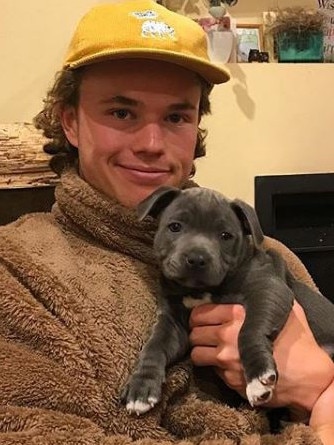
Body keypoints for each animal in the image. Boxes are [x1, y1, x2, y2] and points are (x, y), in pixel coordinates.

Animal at [122, 185, 334, 412]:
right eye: (175, 227)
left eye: (225, 235)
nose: (197, 258)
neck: (200, 290)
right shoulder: (173, 322)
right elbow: (156, 345)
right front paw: (141, 386)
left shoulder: (268, 289)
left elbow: (249, 330)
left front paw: (258, 378)